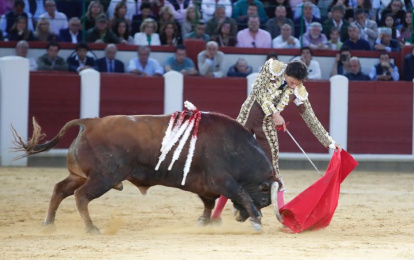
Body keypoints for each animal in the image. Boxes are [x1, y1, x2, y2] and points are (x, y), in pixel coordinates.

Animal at [11, 107, 284, 234]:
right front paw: (257, 221)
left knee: (60, 190)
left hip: (80, 175)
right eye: (264, 199)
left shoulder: (206, 186)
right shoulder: (223, 181)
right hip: (103, 178)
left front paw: (204, 222)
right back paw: (91, 228)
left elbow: (208, 204)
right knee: (81, 197)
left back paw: (49, 224)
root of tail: (89, 122)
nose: (239, 218)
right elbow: (242, 194)